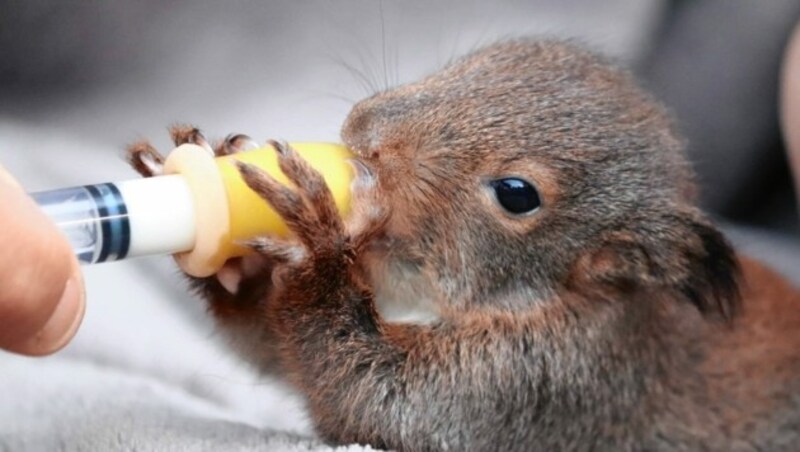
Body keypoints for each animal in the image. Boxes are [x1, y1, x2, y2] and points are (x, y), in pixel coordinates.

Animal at [130, 40, 800, 450]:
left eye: (517, 194)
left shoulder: (544, 383)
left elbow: (378, 400)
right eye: (479, 63)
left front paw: (318, 245)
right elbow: (273, 350)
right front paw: (233, 257)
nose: (364, 129)